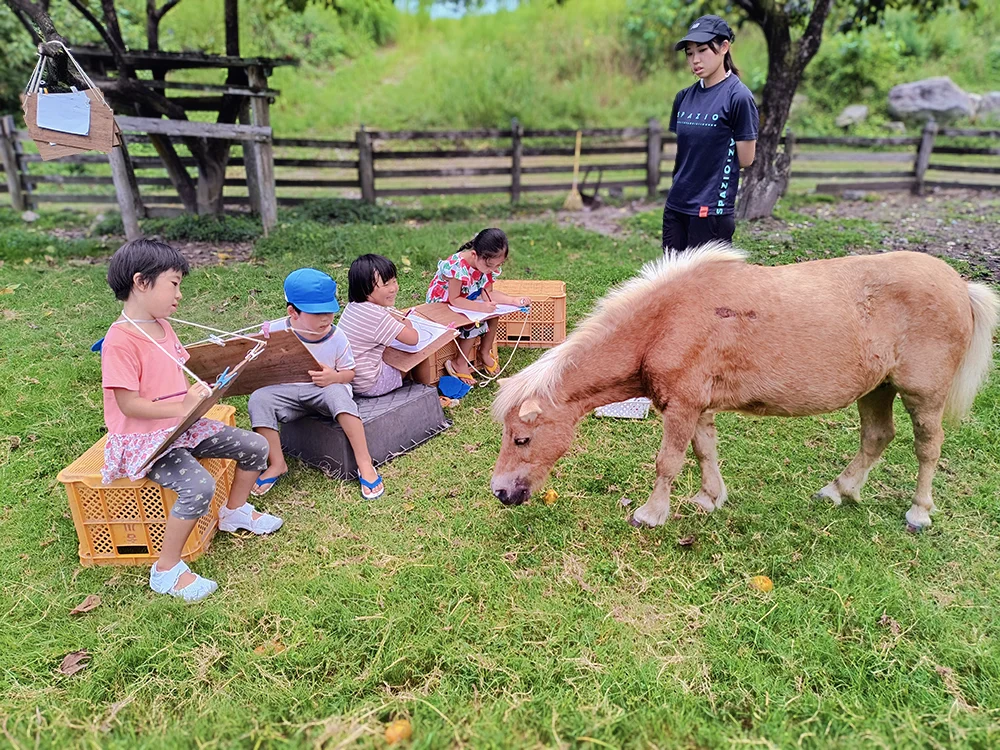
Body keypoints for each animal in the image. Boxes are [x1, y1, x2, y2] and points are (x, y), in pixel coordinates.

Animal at [491, 244, 998, 531]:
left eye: (522, 439)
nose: (500, 493)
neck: (666, 321)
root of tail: (959, 285)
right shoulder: (696, 406)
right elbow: (704, 452)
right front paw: (710, 498)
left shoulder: (682, 406)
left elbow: (668, 462)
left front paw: (650, 515)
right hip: (877, 388)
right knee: (877, 437)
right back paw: (838, 491)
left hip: (922, 394)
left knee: (927, 447)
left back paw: (919, 512)